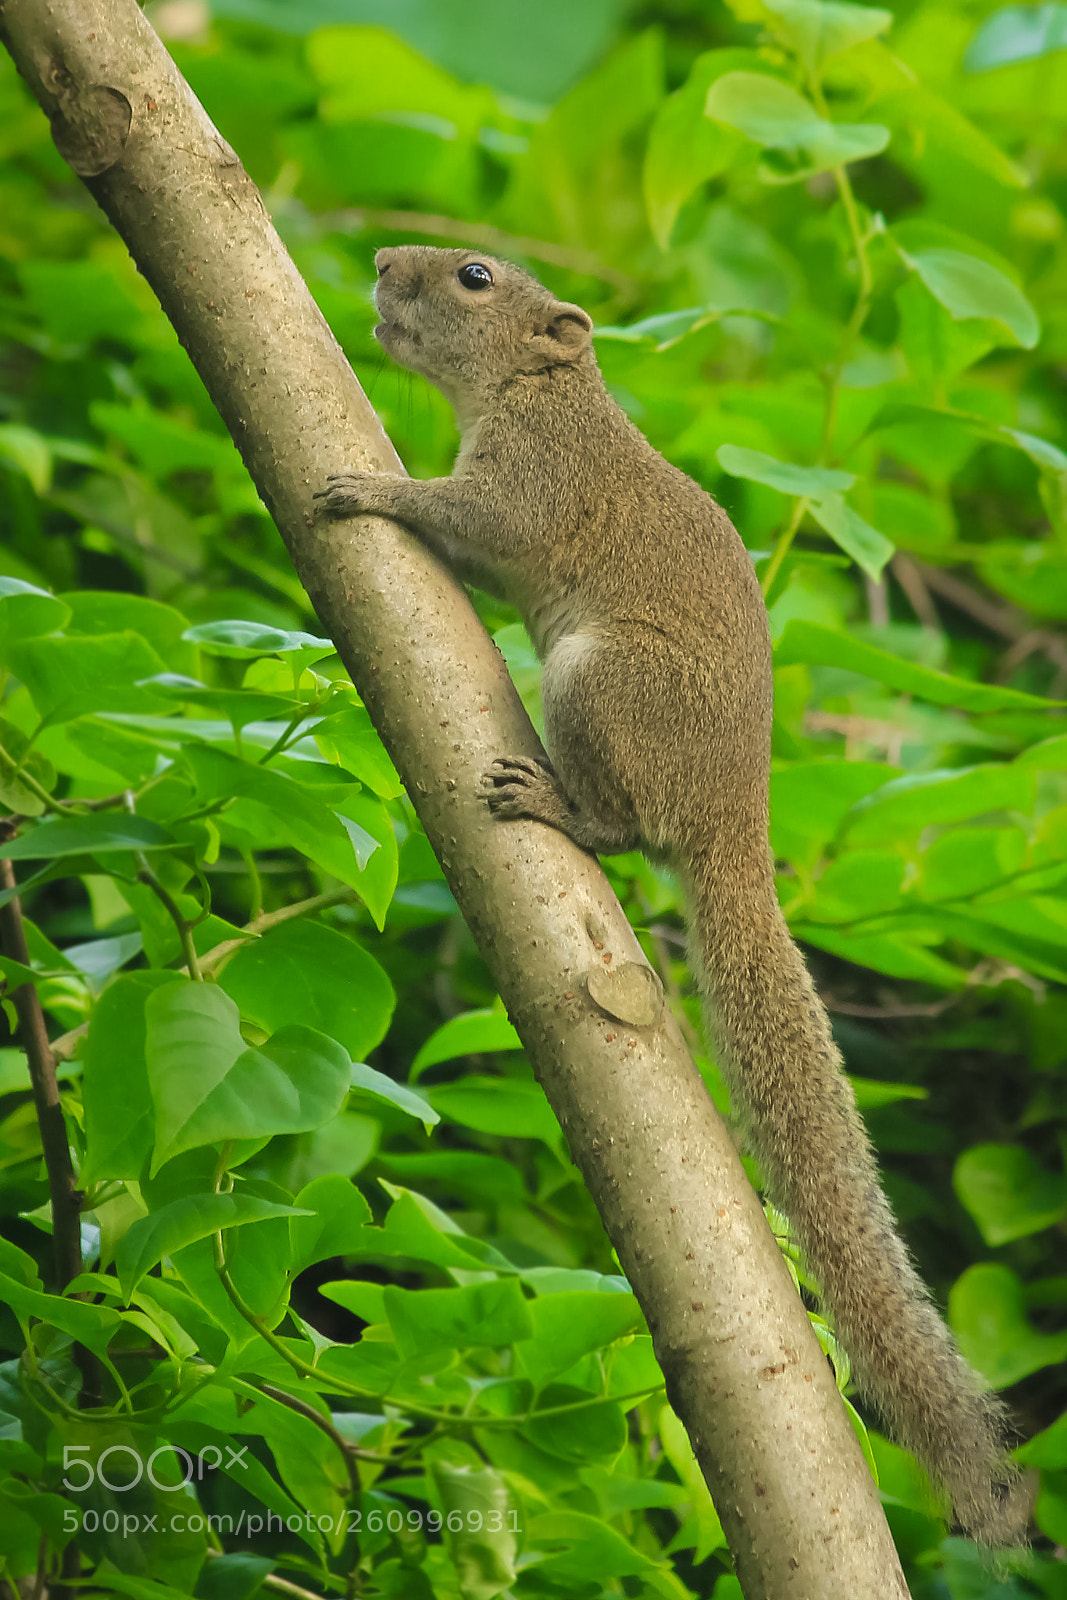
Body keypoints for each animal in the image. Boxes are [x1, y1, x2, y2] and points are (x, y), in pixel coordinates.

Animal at [319, 244, 1026, 1544]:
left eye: (473, 275)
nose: (384, 264)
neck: (547, 391)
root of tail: (733, 821)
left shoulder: (533, 484)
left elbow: (469, 521)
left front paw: (370, 487)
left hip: (600, 681)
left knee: (624, 823)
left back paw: (558, 807)